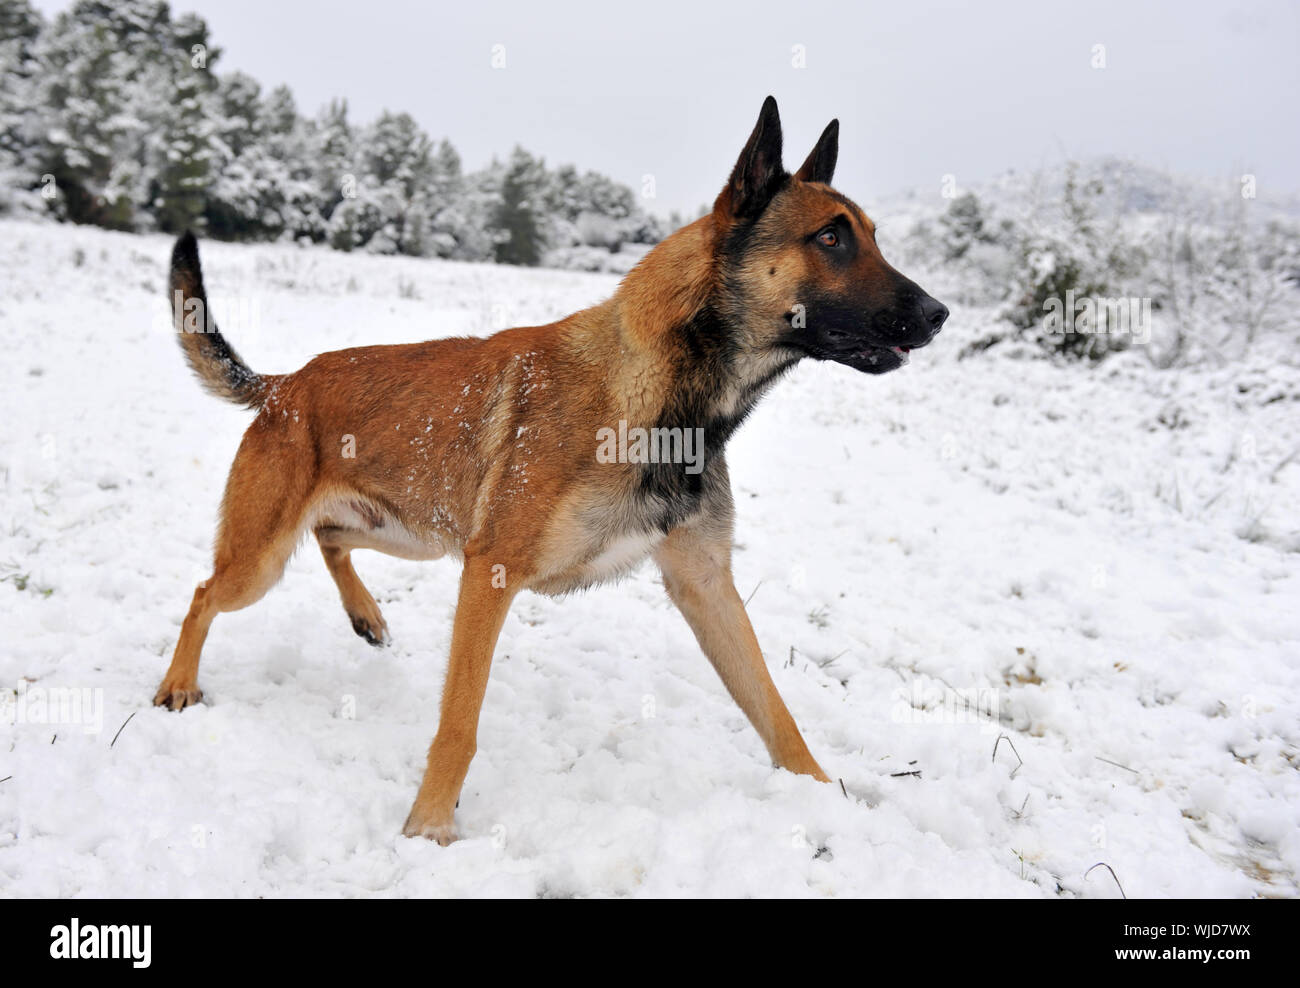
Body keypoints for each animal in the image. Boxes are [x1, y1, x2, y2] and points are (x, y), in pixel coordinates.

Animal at [157, 96, 951, 847]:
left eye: (872, 236)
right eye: (830, 238)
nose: (941, 313)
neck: (663, 394)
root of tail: (285, 386)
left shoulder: (706, 587)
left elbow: (776, 712)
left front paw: (823, 795)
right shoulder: (490, 573)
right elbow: (459, 724)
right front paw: (429, 828)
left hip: (412, 534)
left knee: (329, 538)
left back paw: (365, 614)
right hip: (266, 559)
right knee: (202, 594)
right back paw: (177, 686)